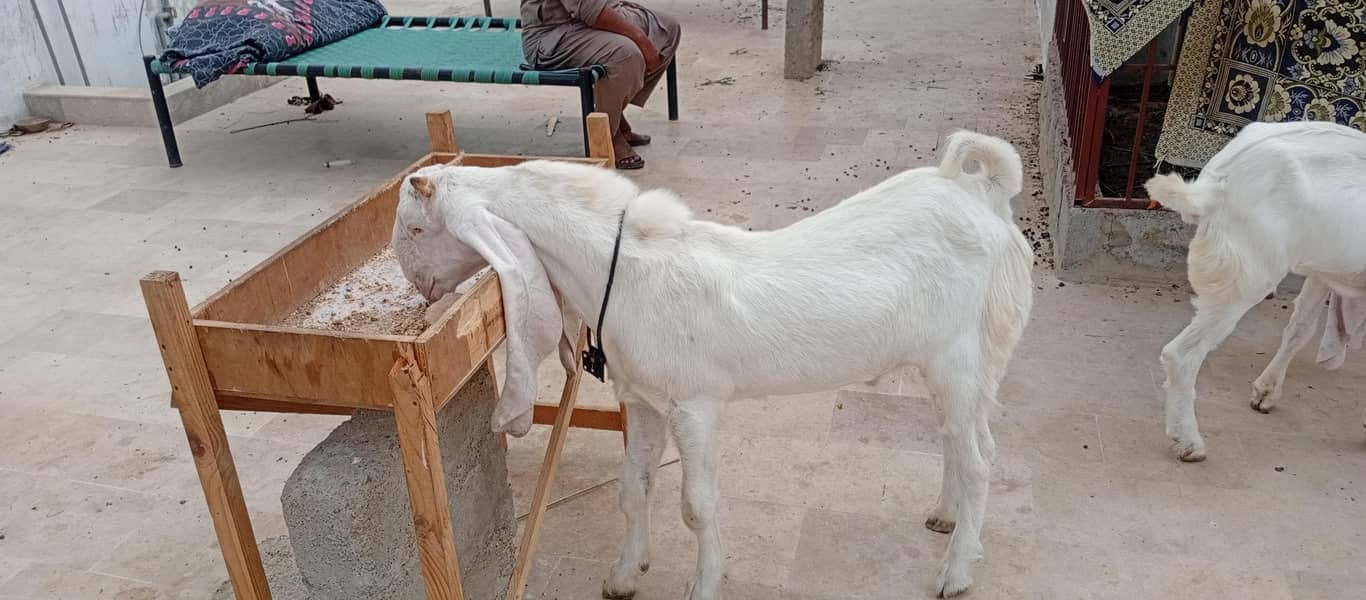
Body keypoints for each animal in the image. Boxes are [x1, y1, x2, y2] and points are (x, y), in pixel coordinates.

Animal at [391, 131, 1034, 598]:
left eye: (419, 226)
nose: (418, 287)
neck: (622, 268)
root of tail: (984, 193)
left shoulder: (694, 407)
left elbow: (696, 506)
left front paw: (704, 585)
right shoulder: (642, 400)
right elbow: (633, 488)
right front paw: (624, 575)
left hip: (964, 352)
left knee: (980, 457)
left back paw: (957, 572)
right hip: (945, 363)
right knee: (954, 437)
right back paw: (946, 516)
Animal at [1145, 121, 1366, 462]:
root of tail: (1216, 185)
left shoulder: (1322, 271)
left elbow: (1300, 328)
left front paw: (1266, 392)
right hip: (1247, 279)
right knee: (1181, 354)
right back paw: (1189, 441)